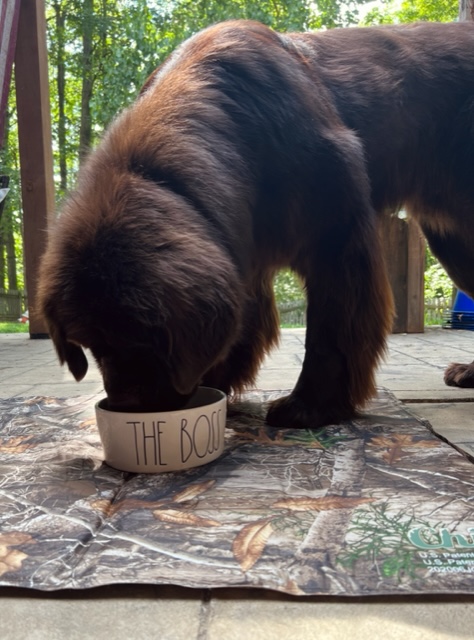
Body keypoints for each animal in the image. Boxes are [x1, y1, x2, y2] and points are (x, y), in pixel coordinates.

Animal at [38, 20, 474, 428]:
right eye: (92, 344)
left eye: (146, 340)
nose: (127, 406)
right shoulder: (240, 250)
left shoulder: (337, 241)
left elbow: (330, 330)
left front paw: (310, 406)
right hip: (453, 242)